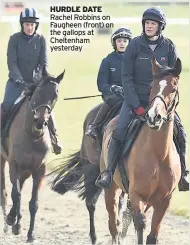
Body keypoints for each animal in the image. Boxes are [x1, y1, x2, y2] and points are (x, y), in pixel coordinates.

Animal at [0, 71, 64, 243]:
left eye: (55, 95)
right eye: (39, 91)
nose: (41, 121)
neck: (32, 135)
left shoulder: (39, 170)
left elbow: (33, 203)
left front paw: (31, 234)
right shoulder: (14, 164)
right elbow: (16, 194)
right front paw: (12, 222)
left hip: (26, 170)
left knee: (19, 188)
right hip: (4, 162)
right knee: (5, 192)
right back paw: (7, 224)